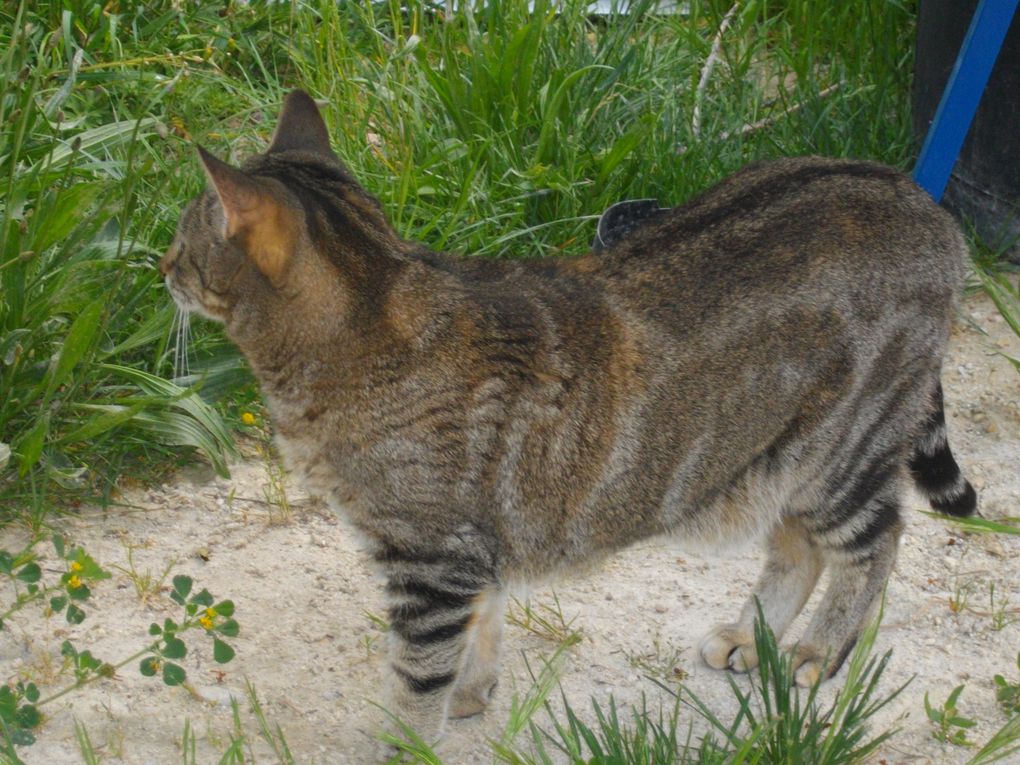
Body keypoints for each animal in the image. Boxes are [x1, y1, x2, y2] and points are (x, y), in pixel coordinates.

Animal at [157, 89, 971, 742]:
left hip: (839, 453)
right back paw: (751, 637)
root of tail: (921, 200)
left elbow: (417, 681)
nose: (159, 267)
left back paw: (817, 650)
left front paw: (410, 735)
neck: (370, 312)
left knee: (876, 541)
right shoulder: (468, 551)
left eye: (183, 241)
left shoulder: (429, 563)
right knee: (798, 548)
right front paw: (472, 690)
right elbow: (481, 627)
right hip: (766, 462)